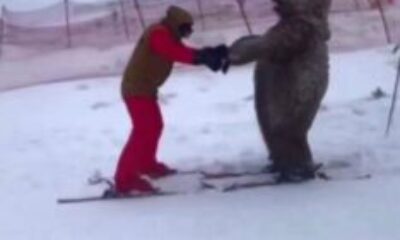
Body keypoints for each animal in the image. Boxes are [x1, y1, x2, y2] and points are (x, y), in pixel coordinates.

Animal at [227, 0, 332, 181]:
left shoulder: (295, 31)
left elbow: (271, 43)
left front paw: (233, 53)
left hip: (286, 131)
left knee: (286, 145)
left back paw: (296, 172)